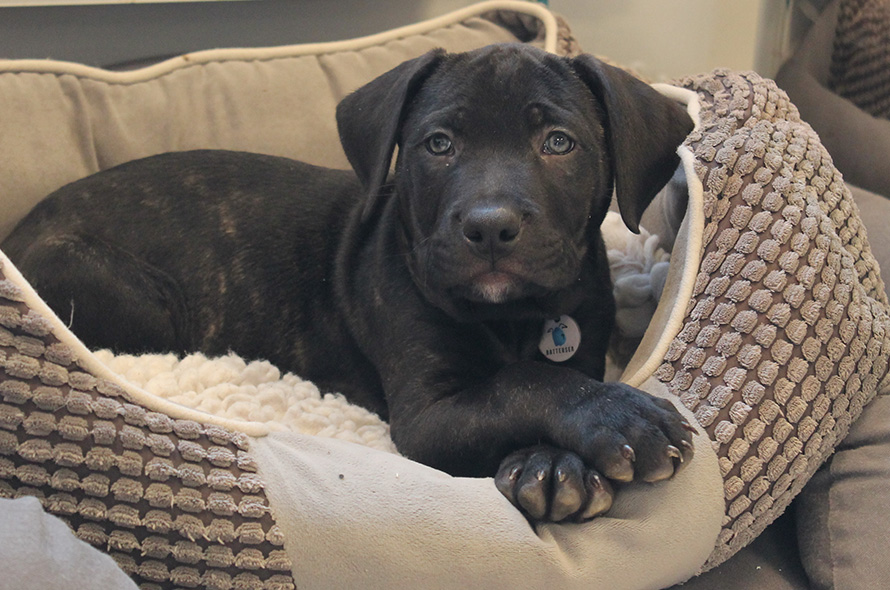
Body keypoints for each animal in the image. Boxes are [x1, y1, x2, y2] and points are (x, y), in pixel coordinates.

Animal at [0, 44, 692, 524]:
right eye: (438, 144)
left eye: (559, 143)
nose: (489, 227)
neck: (513, 316)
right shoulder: (427, 413)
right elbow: (523, 383)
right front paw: (618, 420)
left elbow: (543, 375)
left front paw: (551, 463)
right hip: (136, 297)